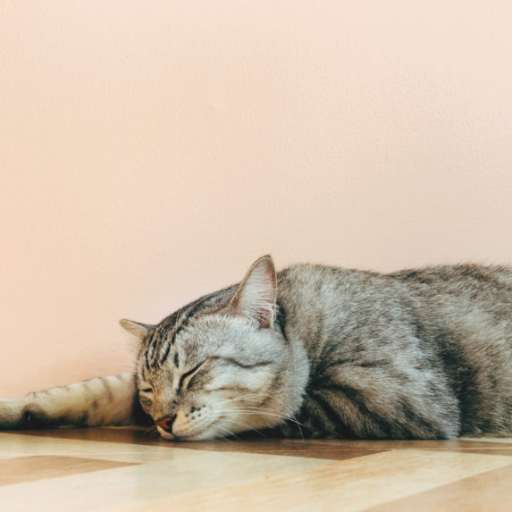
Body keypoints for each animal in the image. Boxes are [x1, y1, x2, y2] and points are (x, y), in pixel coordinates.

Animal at [1, 256, 512, 440]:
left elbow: (280, 407)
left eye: (191, 372)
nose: (162, 422)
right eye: (148, 391)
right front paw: (19, 408)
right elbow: (94, 390)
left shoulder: (398, 395)